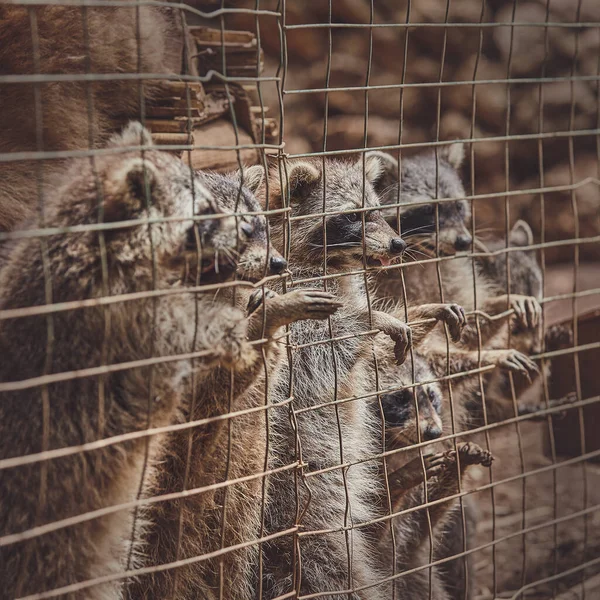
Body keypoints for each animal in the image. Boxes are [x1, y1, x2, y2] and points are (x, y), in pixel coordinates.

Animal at [127, 164, 342, 600]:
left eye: (260, 223)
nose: (277, 263)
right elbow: (204, 396)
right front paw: (264, 321)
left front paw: (264, 318)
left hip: (238, 517)